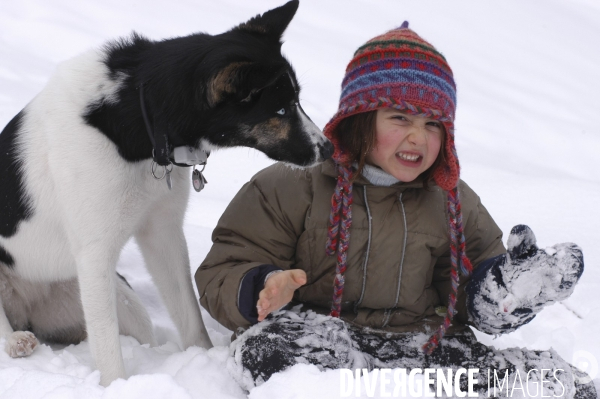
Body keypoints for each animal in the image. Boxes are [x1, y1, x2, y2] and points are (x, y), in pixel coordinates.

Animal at [0, 0, 332, 388]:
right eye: (280, 109)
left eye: (297, 101)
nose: (328, 149)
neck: (141, 120)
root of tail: (27, 304)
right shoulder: (96, 253)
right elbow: (107, 346)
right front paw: (117, 387)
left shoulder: (163, 233)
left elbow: (188, 313)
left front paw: (201, 361)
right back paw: (15, 341)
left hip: (116, 305)